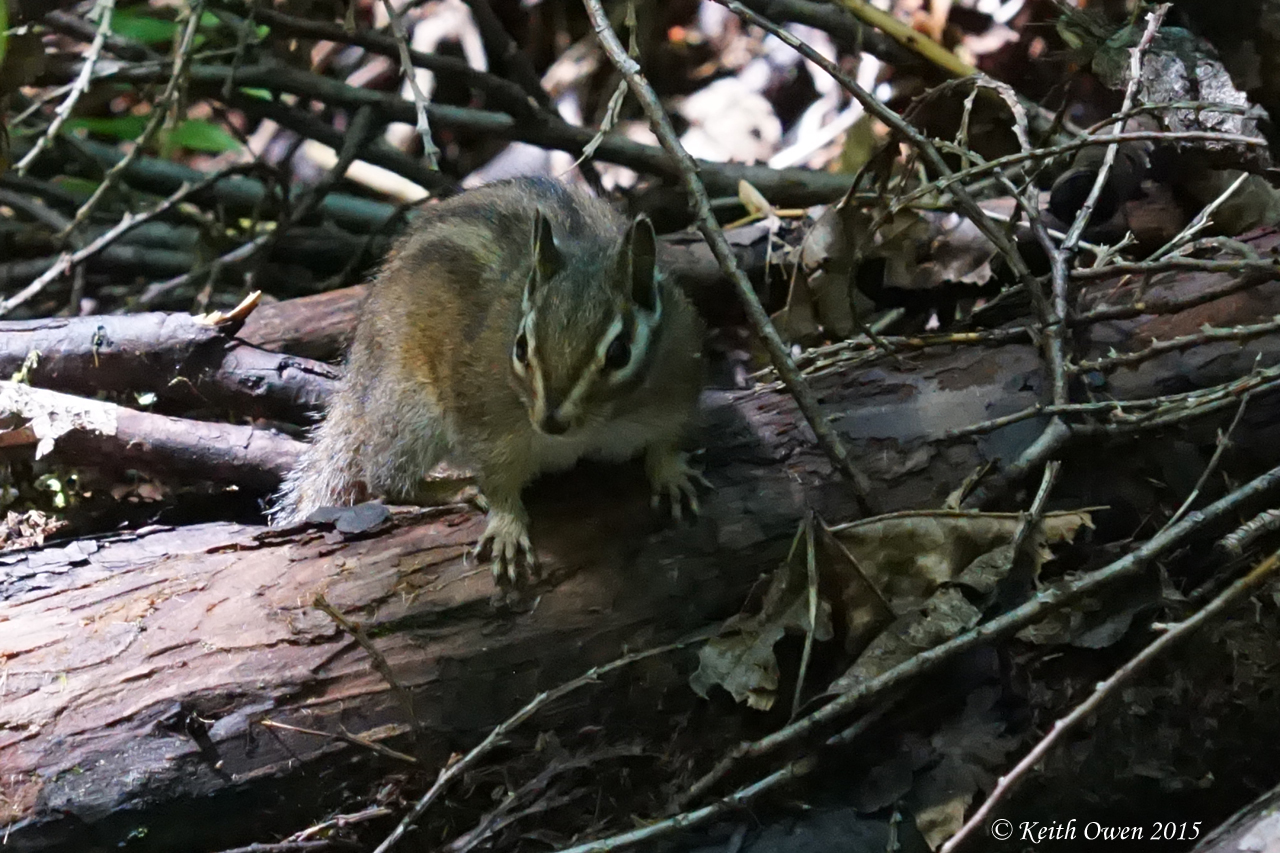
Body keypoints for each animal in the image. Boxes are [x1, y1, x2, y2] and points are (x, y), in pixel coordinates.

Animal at [272, 178, 708, 583]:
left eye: (619, 354)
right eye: (520, 346)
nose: (551, 422)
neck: (597, 425)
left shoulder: (677, 386)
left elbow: (668, 439)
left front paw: (671, 472)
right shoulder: (488, 425)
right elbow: (498, 480)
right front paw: (506, 525)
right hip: (411, 407)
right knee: (385, 476)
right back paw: (454, 489)